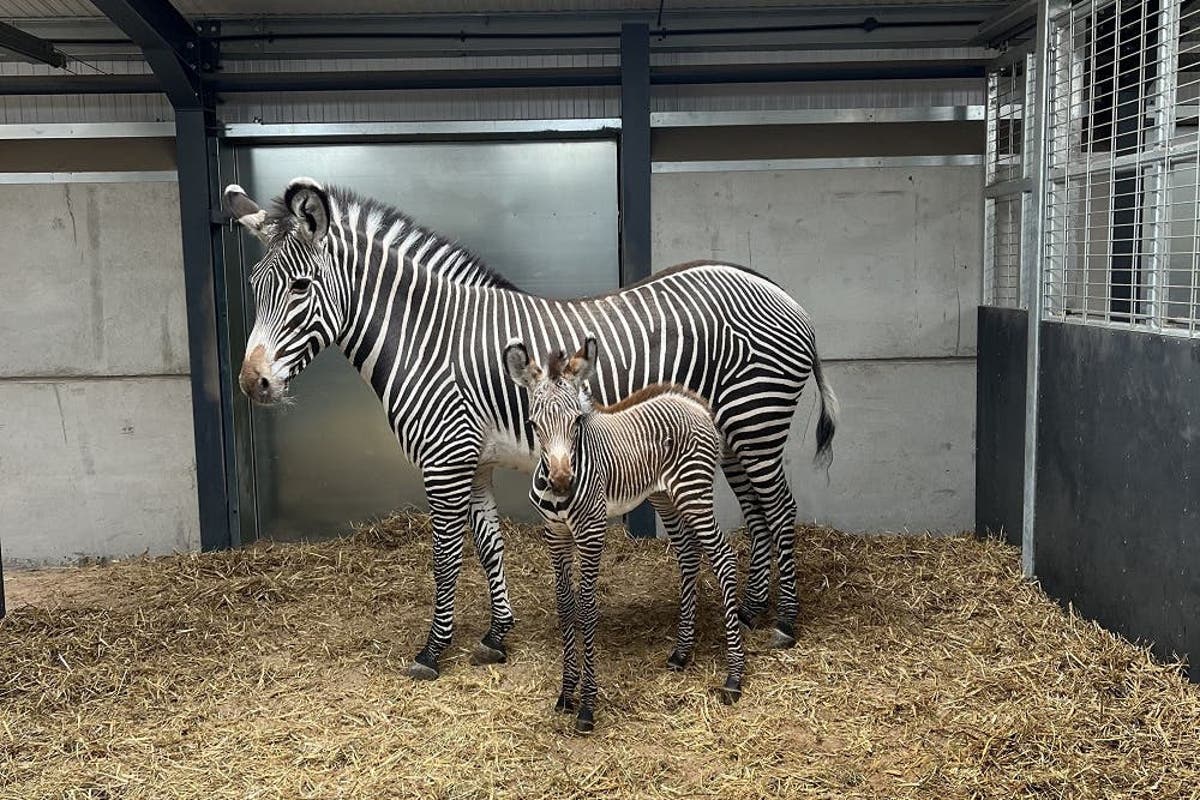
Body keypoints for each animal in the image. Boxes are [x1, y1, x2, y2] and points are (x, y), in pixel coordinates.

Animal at [224, 176, 839, 680]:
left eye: (300, 287)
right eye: (253, 286)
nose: (253, 384)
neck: (427, 338)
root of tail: (784, 292)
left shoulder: (444, 458)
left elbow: (445, 555)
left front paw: (433, 650)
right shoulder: (473, 460)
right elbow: (488, 545)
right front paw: (497, 634)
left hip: (756, 419)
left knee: (780, 508)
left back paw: (785, 622)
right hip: (730, 434)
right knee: (756, 512)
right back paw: (754, 610)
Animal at [505, 336, 745, 733]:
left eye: (576, 421)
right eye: (533, 424)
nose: (561, 483)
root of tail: (696, 404)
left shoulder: (591, 531)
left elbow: (586, 609)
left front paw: (587, 706)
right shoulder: (555, 535)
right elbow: (564, 606)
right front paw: (566, 693)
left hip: (694, 493)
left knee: (724, 558)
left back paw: (734, 676)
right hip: (665, 496)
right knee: (688, 554)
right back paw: (682, 652)